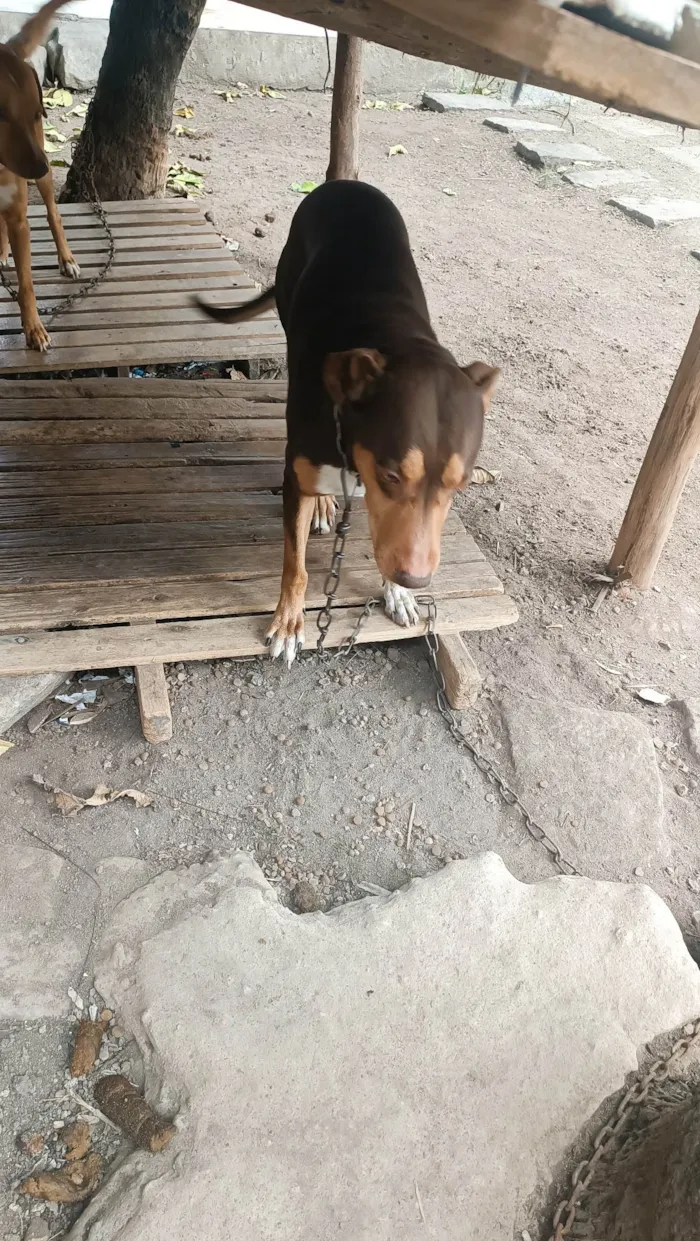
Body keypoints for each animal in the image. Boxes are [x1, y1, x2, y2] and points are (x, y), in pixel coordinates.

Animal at [199, 179, 501, 665]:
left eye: (461, 486)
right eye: (391, 474)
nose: (417, 580)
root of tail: (344, 183)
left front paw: (397, 591)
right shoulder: (297, 474)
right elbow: (295, 563)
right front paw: (289, 623)